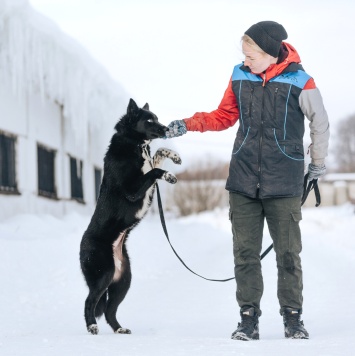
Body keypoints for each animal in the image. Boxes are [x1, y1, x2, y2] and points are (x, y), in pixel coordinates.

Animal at [79, 97, 182, 334]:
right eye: (149, 120)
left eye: (157, 118)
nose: (166, 129)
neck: (135, 145)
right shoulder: (132, 190)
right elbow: (154, 171)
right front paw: (169, 175)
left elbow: (158, 153)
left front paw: (174, 156)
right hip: (104, 274)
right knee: (90, 302)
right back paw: (91, 326)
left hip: (123, 280)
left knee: (110, 310)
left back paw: (119, 329)